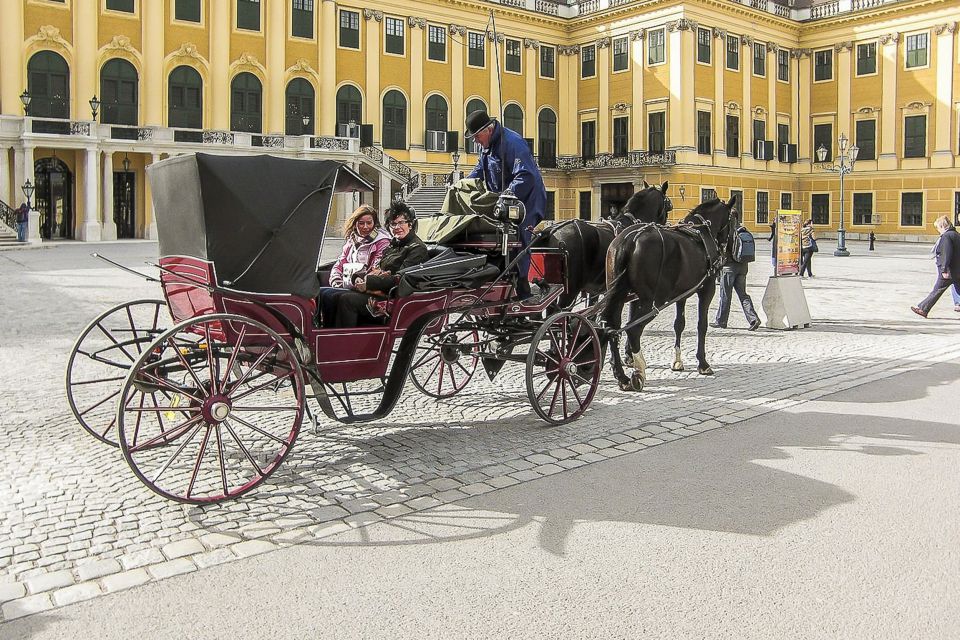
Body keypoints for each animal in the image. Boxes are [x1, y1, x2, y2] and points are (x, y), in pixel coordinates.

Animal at [600, 195, 736, 390]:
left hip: (618, 297)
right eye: (733, 219)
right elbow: (701, 325)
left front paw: (677, 361)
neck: (700, 233)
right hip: (651, 302)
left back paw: (621, 376)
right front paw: (703, 363)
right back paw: (639, 371)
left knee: (612, 328)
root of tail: (629, 240)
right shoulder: (707, 289)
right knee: (632, 330)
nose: (731, 251)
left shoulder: (682, 294)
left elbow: (679, 324)